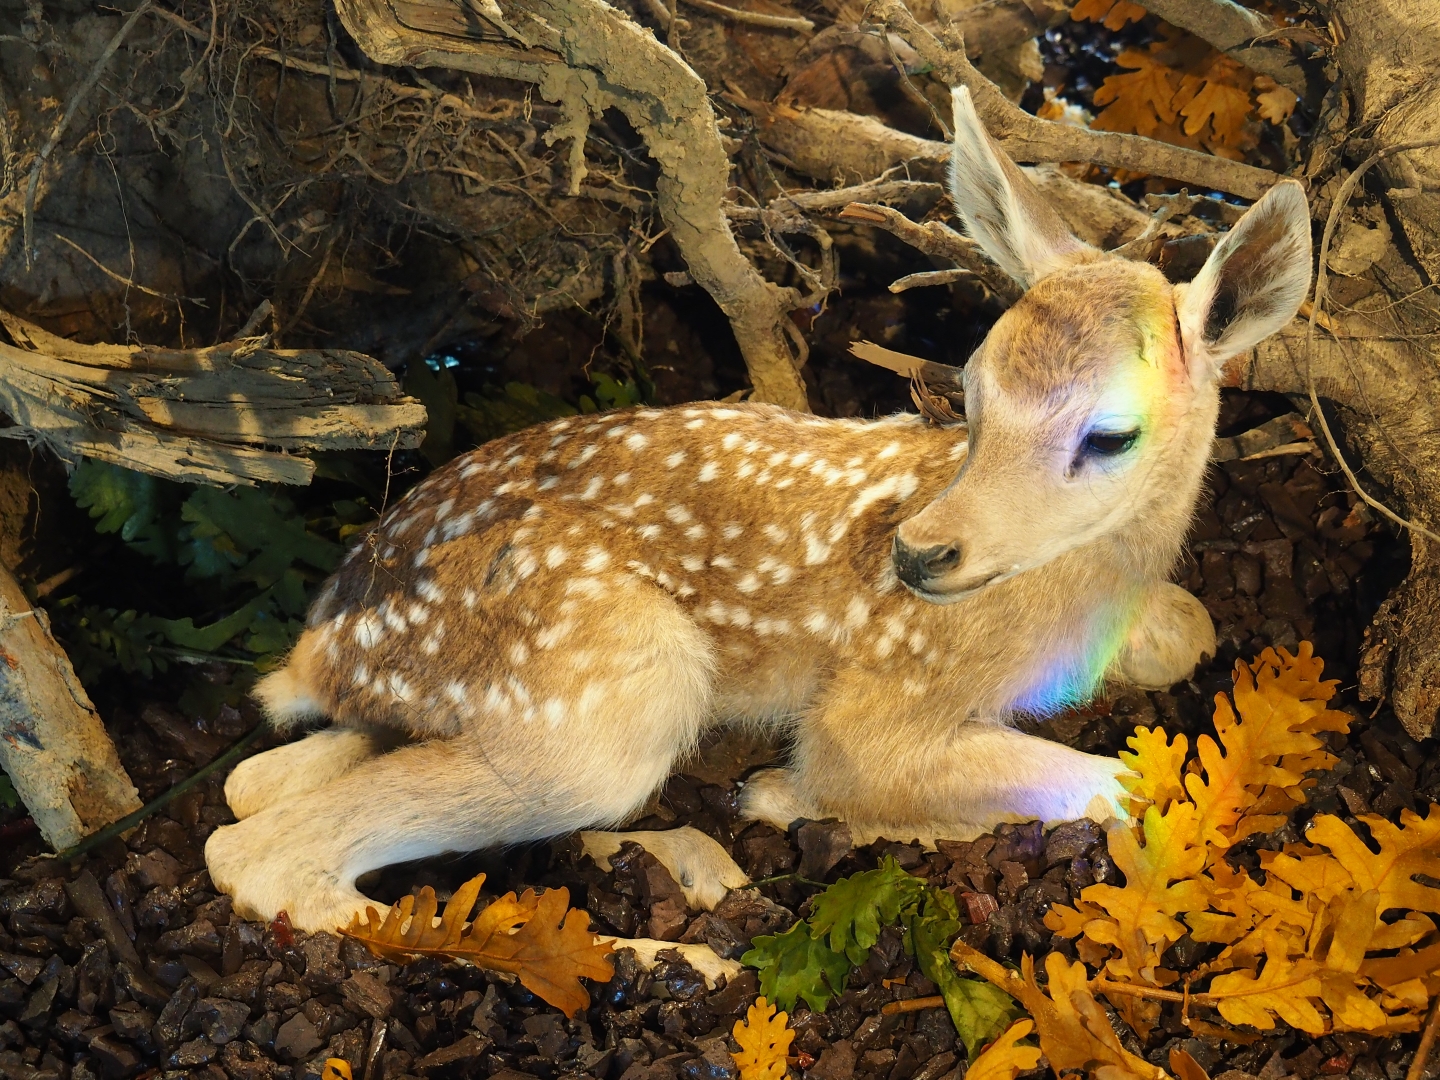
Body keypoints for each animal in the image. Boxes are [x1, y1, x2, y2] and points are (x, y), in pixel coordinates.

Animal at [204, 85, 1312, 978]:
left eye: (1112, 434)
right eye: (969, 389)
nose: (921, 554)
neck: (1067, 605)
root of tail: (320, 643)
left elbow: (1191, 630)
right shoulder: (877, 701)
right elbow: (1117, 783)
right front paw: (793, 796)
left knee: (250, 787)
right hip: (607, 685)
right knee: (261, 854)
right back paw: (687, 952)